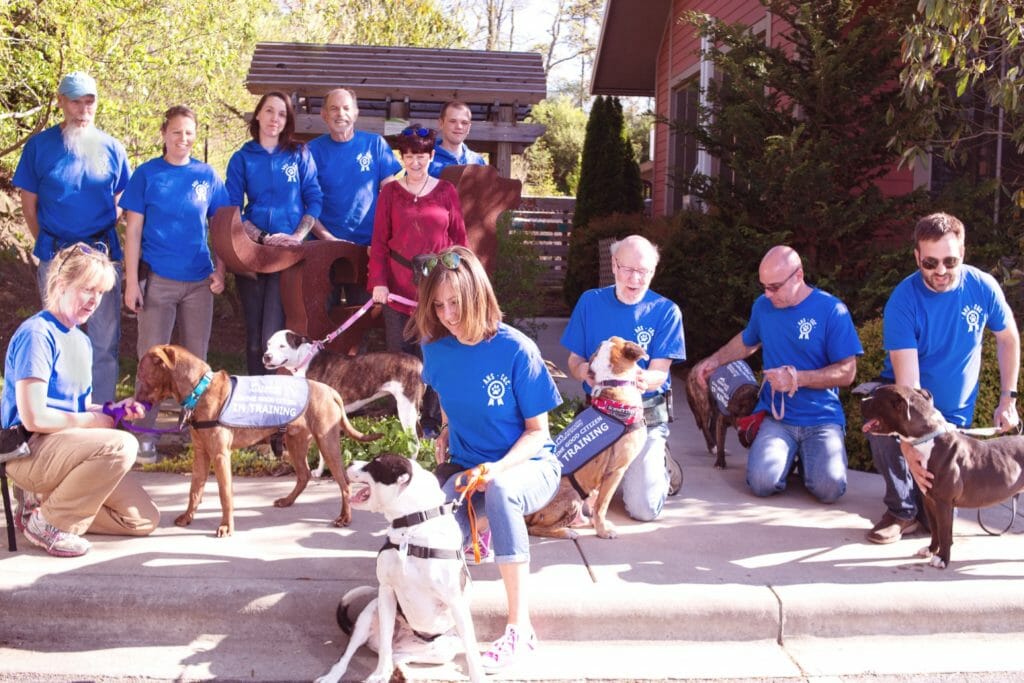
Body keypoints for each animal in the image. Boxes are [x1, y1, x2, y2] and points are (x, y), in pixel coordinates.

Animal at [132, 344, 380, 536]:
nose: (133, 403)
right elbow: (194, 490)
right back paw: (288, 501)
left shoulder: (220, 455)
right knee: (304, 475)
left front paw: (226, 527)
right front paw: (187, 517)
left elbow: (225, 494)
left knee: (344, 483)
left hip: (326, 442)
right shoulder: (201, 453)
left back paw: (344, 518)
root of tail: (330, 391)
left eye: (141, 374)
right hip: (296, 441)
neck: (199, 390)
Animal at [315, 454, 483, 683]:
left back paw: (399, 672)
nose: (349, 462)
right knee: (352, 655)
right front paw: (378, 672)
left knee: (400, 657)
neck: (412, 528)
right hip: (369, 615)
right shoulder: (386, 591)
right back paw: (338, 675)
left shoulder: (456, 602)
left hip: (444, 648)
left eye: (375, 463)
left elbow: (472, 652)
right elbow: (385, 642)